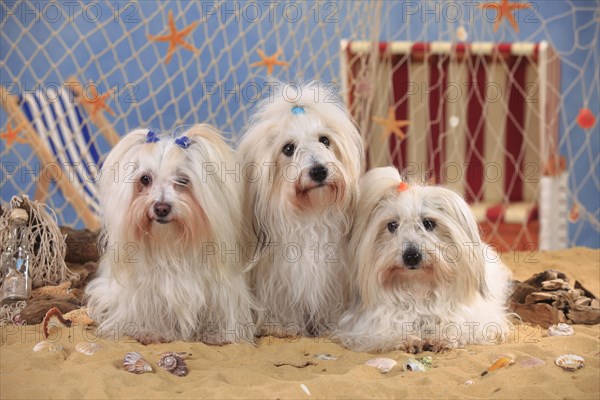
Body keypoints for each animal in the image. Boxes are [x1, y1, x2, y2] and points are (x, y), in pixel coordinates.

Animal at [85, 125, 254, 344]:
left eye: (183, 180)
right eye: (145, 179)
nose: (161, 208)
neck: (170, 246)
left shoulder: (220, 290)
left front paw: (217, 333)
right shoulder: (145, 292)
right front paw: (150, 331)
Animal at [238, 83, 360, 336]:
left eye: (324, 140)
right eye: (288, 148)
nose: (319, 171)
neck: (311, 215)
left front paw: (328, 326)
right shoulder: (279, 282)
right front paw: (284, 327)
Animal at [338, 167, 510, 352]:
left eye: (428, 223)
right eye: (392, 225)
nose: (411, 256)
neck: (418, 286)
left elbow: (455, 322)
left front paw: (441, 337)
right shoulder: (373, 321)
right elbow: (391, 326)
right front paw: (408, 339)